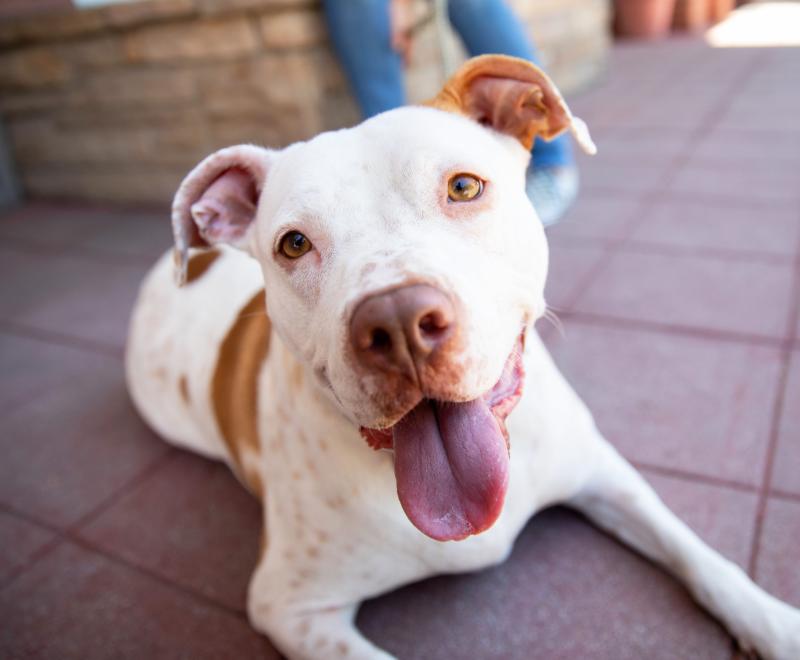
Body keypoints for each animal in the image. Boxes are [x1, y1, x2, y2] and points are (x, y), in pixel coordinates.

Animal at [125, 56, 800, 660]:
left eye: (463, 187)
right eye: (293, 244)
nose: (397, 321)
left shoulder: (605, 472)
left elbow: (698, 554)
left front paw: (774, 623)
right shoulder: (287, 605)